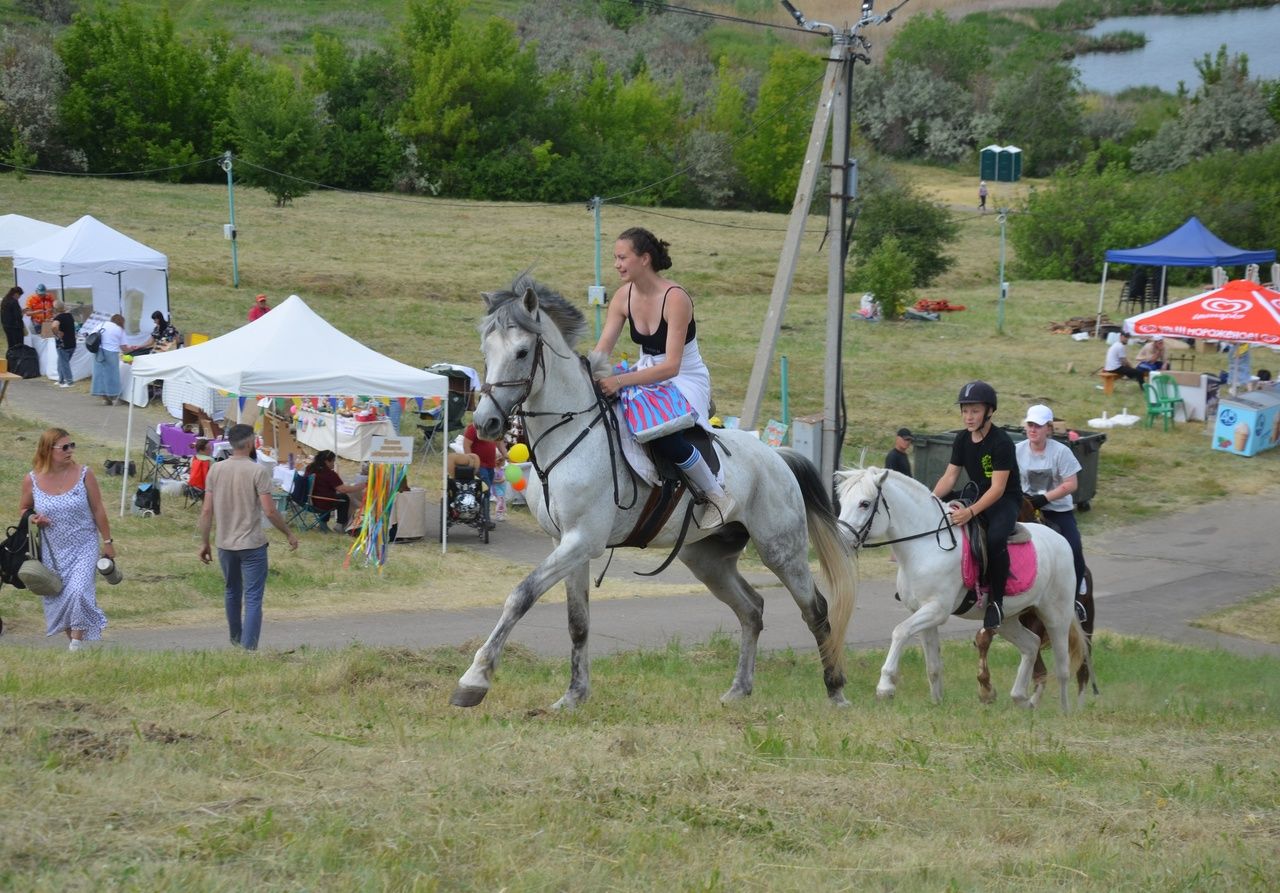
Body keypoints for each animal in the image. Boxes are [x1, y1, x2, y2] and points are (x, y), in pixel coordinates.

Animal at [450, 276, 860, 711]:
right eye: (486, 352)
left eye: (522, 352)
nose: (487, 422)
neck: (570, 435)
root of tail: (777, 456)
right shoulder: (567, 544)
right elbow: (578, 623)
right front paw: (574, 695)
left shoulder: (582, 541)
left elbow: (520, 595)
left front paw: (475, 679)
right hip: (707, 559)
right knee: (752, 609)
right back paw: (739, 689)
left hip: (781, 551)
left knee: (815, 609)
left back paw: (835, 690)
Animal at [839, 465, 1090, 711]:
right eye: (841, 502)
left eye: (864, 503)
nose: (842, 540)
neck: (926, 546)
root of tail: (1060, 540)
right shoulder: (921, 613)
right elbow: (933, 665)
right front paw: (937, 704)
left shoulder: (936, 610)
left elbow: (899, 631)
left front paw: (885, 686)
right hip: (1007, 620)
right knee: (1031, 645)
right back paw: (1021, 698)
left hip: (1056, 615)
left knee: (1063, 667)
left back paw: (1065, 712)